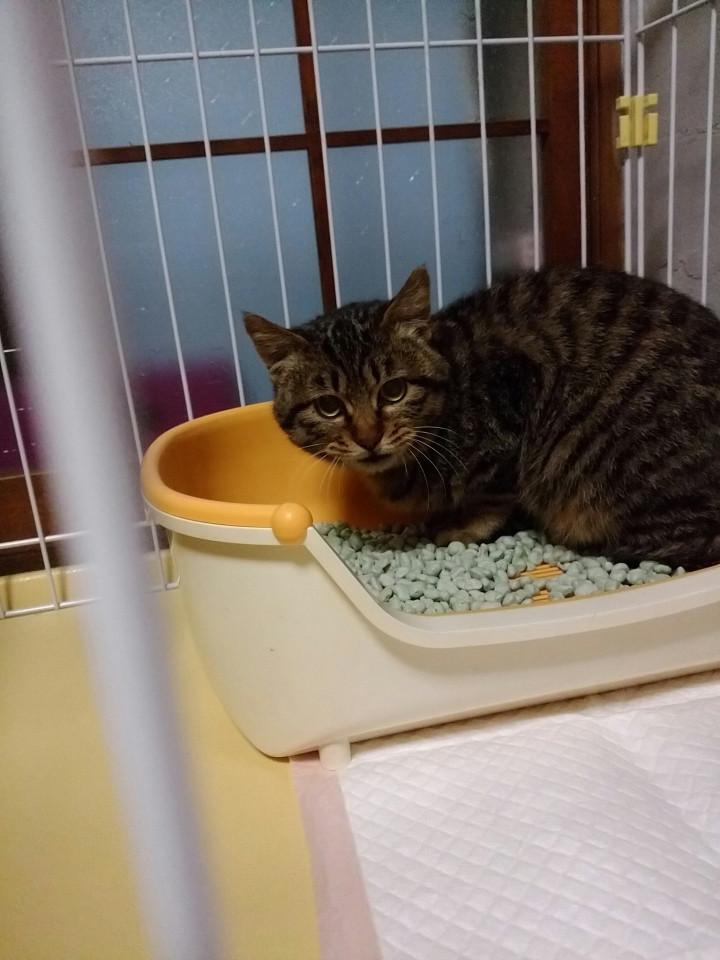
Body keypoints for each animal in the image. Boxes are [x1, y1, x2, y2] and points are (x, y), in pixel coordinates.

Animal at [245, 265, 720, 569]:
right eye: (329, 406)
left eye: (394, 390)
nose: (368, 437)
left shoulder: (516, 403)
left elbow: (494, 492)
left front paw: (464, 526)